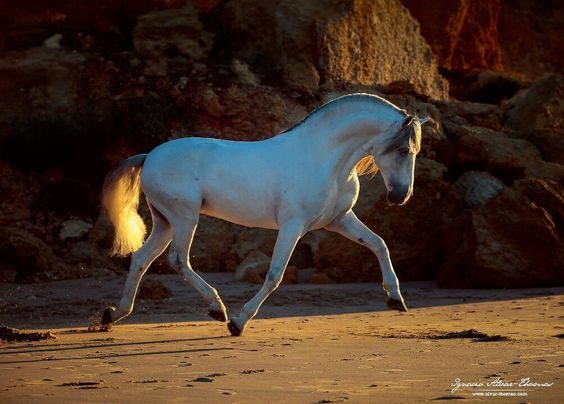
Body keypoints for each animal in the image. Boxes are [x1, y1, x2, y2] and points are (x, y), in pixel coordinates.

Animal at [100, 93, 428, 336]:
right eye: (403, 150)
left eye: (413, 151)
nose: (400, 196)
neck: (324, 160)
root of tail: (150, 156)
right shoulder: (293, 226)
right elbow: (275, 275)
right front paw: (238, 323)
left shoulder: (339, 220)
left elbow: (379, 244)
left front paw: (396, 299)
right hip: (184, 218)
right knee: (179, 260)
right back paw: (218, 309)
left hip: (165, 222)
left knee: (141, 259)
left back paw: (113, 315)